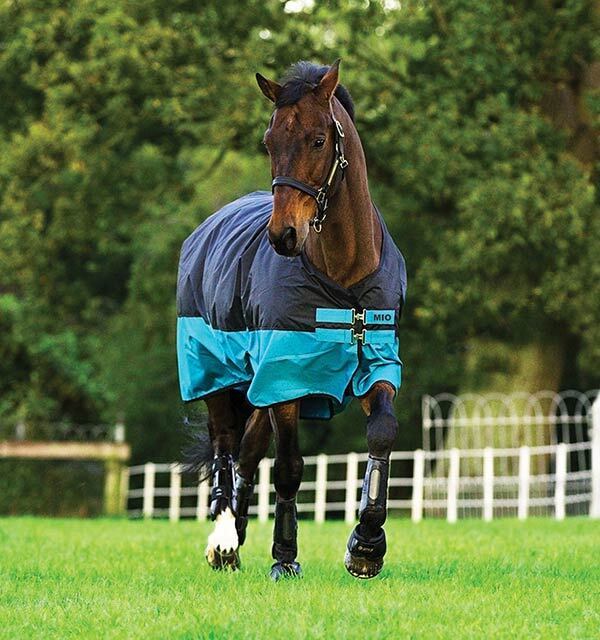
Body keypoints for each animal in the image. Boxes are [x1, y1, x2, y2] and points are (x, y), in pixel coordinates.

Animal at [177, 60, 406, 580]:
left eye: (319, 140)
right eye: (269, 141)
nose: (283, 235)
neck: (343, 276)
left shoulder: (376, 362)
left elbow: (382, 433)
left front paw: (366, 546)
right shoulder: (286, 377)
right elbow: (289, 467)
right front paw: (285, 557)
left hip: (257, 389)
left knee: (247, 452)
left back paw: (238, 534)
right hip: (217, 374)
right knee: (226, 446)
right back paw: (224, 540)